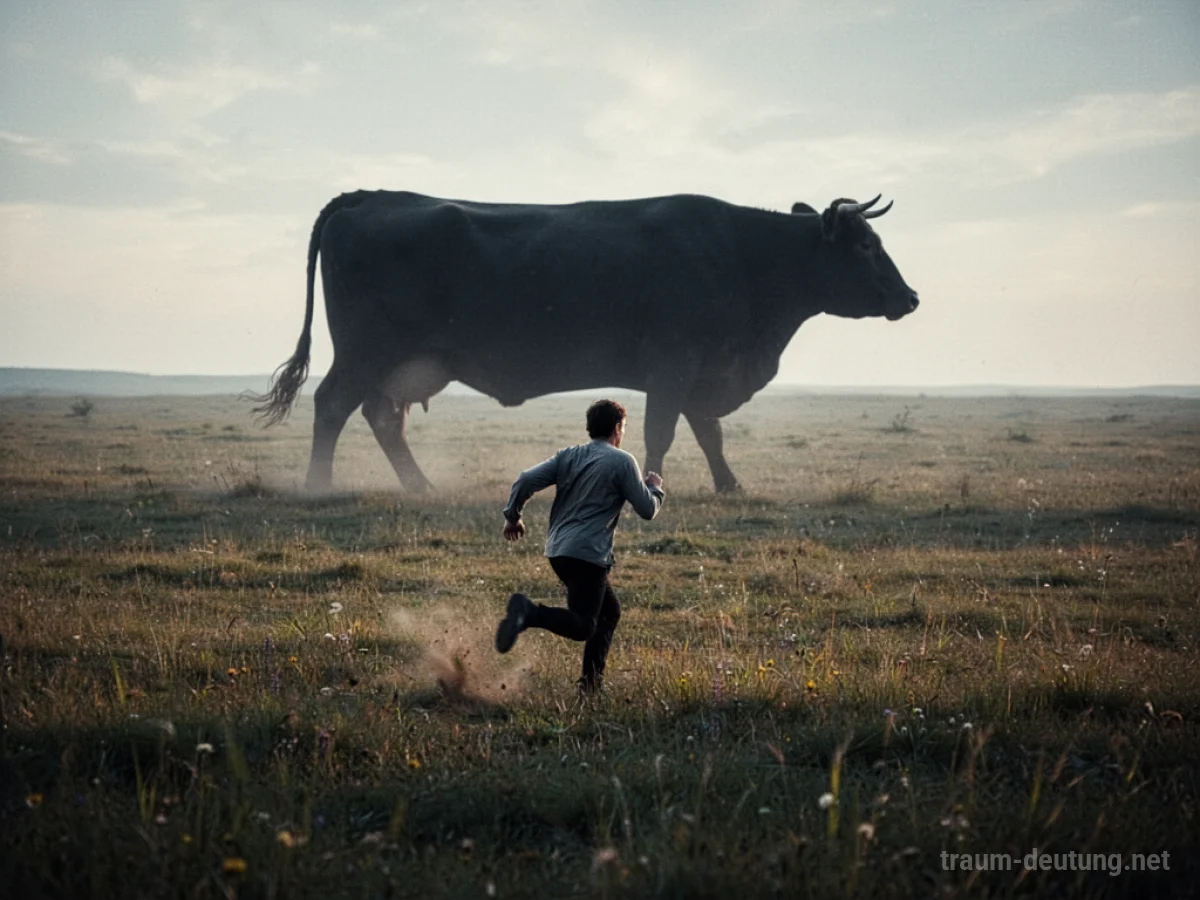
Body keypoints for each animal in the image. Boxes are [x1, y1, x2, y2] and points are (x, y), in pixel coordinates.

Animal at [252, 190, 919, 493]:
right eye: (865, 246)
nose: (910, 297)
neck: (743, 254)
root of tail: (372, 195)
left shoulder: (699, 368)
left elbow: (709, 432)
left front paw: (730, 485)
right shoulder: (674, 360)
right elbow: (664, 430)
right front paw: (652, 484)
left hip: (397, 362)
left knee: (382, 417)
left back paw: (420, 486)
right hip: (365, 352)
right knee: (334, 405)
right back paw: (319, 484)